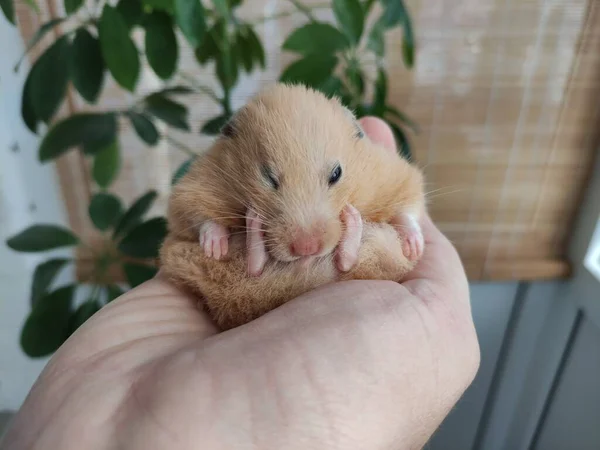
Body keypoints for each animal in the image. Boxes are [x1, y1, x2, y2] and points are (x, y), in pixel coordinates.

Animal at [159, 83, 426, 330]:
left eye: (337, 174)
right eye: (268, 177)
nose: (307, 249)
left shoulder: (393, 174)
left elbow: (408, 207)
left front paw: (414, 247)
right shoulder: (194, 185)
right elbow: (199, 216)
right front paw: (215, 247)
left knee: (347, 262)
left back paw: (354, 221)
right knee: (255, 265)